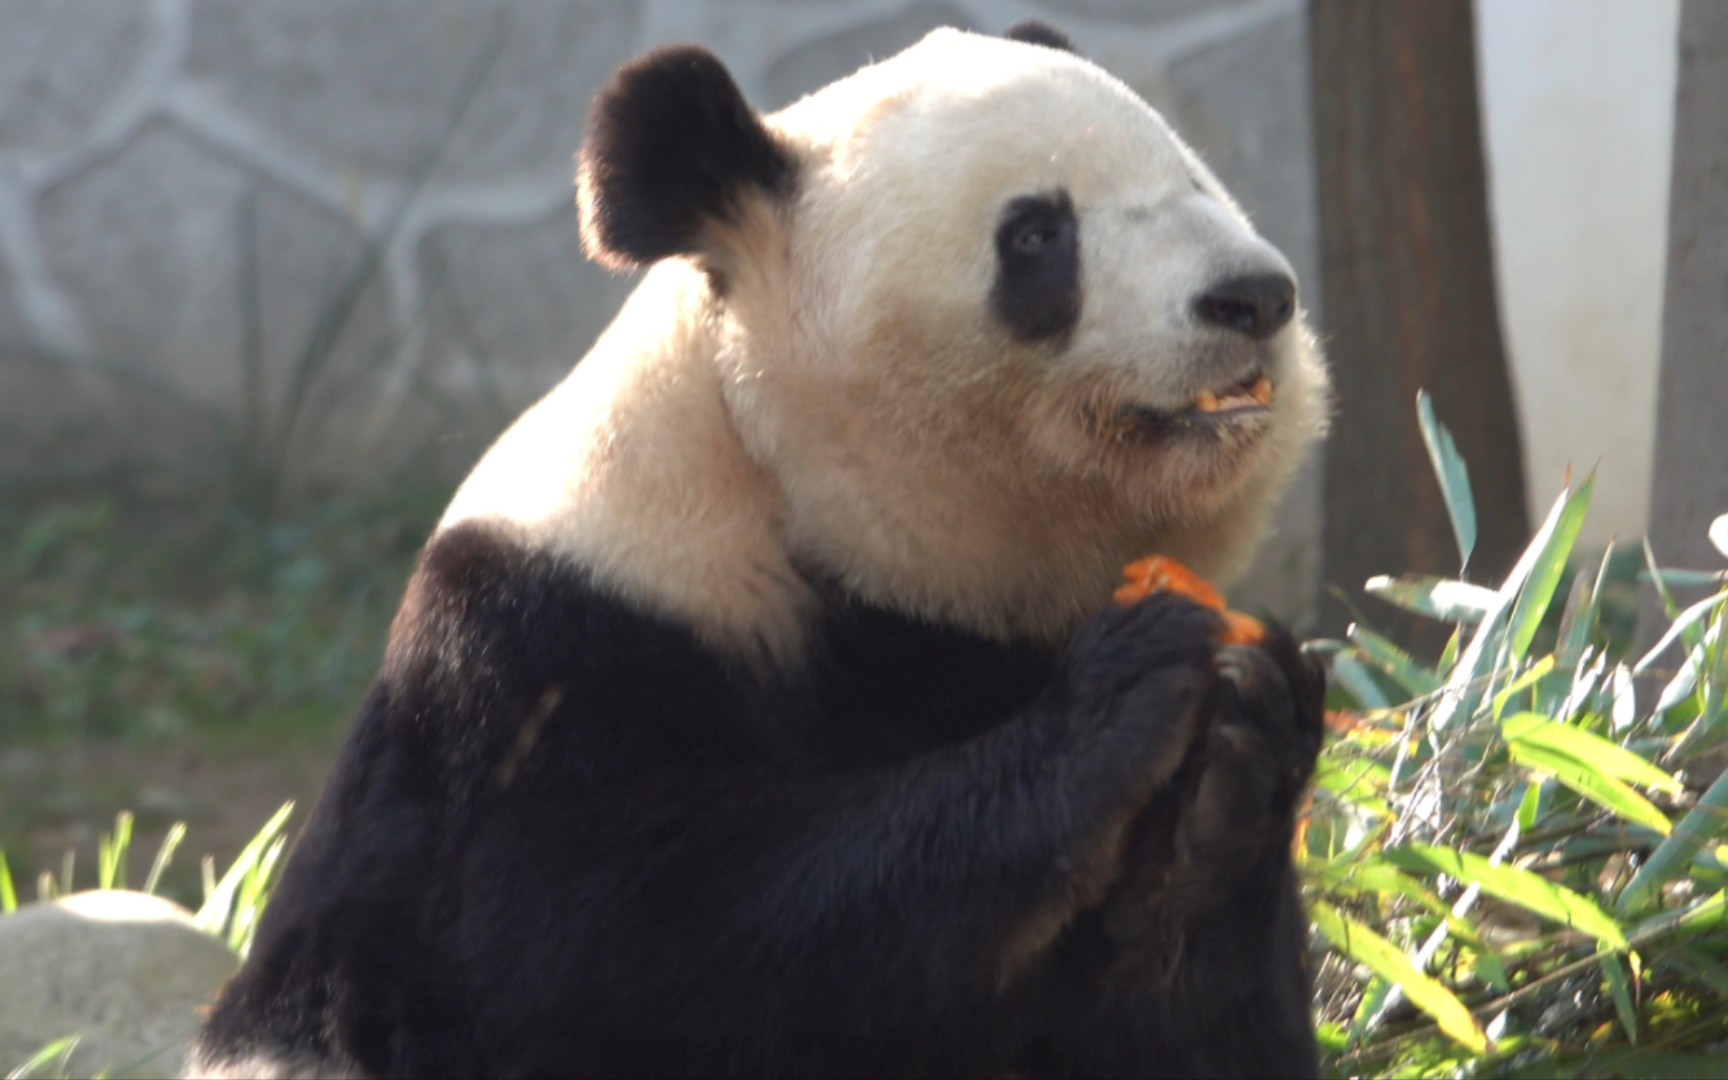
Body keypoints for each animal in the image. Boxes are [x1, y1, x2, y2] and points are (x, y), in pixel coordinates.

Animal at [189, 19, 1327, 1078]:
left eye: (1194, 179)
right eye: (1040, 233)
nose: (1253, 296)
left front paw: (1234, 766)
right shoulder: (543, 662)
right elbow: (650, 948)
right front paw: (1121, 694)